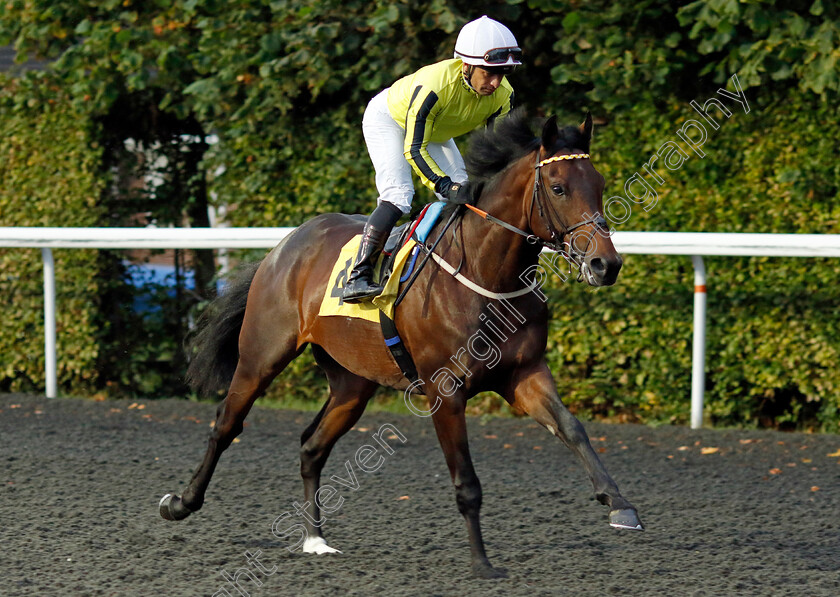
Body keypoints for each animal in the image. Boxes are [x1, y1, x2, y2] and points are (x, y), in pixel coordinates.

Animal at [159, 110, 644, 576]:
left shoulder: (524, 373)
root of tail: (285, 245)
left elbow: (571, 427)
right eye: (559, 188)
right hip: (261, 356)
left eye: (600, 184)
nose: (605, 264)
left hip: (352, 383)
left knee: (312, 446)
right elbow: (467, 481)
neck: (488, 274)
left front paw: (620, 504)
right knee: (226, 425)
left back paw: (315, 539)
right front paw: (482, 563)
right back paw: (181, 503)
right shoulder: (445, 391)